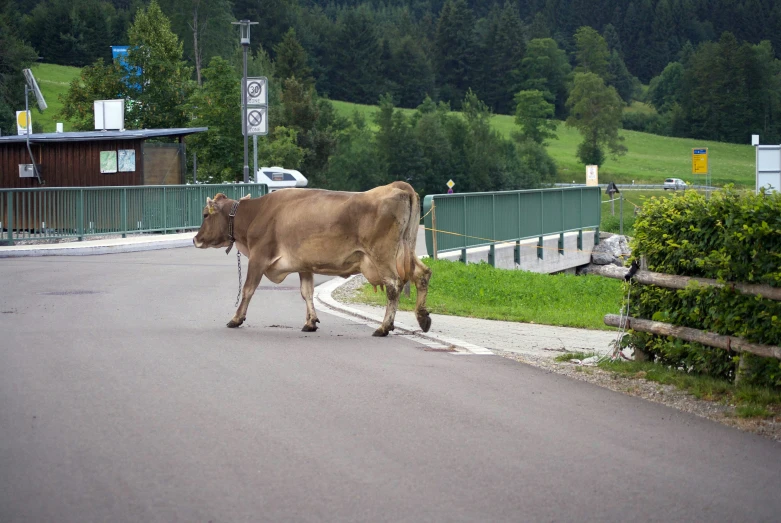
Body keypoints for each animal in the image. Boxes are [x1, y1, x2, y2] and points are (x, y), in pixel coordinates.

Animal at [190, 182, 432, 338]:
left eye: (205, 215)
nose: (195, 239)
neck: (257, 213)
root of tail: (397, 186)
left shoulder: (258, 257)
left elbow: (248, 289)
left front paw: (236, 318)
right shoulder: (304, 264)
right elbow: (306, 292)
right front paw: (310, 322)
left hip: (383, 254)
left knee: (393, 285)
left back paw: (384, 327)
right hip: (407, 250)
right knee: (423, 274)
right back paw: (422, 318)